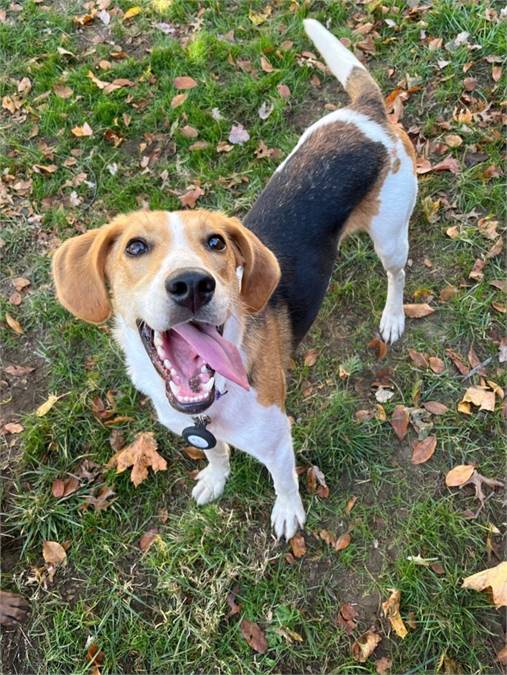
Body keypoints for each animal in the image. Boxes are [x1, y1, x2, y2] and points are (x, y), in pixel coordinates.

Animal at [52, 18, 416, 540]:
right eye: (135, 247)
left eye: (217, 243)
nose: (191, 284)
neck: (211, 402)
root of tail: (367, 114)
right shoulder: (197, 432)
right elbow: (217, 454)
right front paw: (215, 478)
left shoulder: (277, 439)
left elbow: (284, 482)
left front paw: (287, 512)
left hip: (390, 235)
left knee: (397, 274)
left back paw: (392, 316)